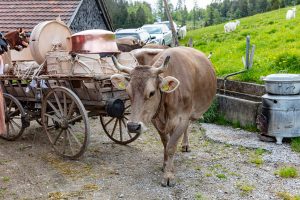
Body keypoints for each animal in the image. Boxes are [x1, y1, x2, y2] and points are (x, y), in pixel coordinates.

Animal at [110, 46, 216, 186]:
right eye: (128, 92)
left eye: (151, 93)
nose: (133, 126)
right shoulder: (156, 120)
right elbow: (166, 143)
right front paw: (166, 165)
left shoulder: (182, 119)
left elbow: (171, 147)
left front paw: (168, 175)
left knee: (188, 127)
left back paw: (185, 145)